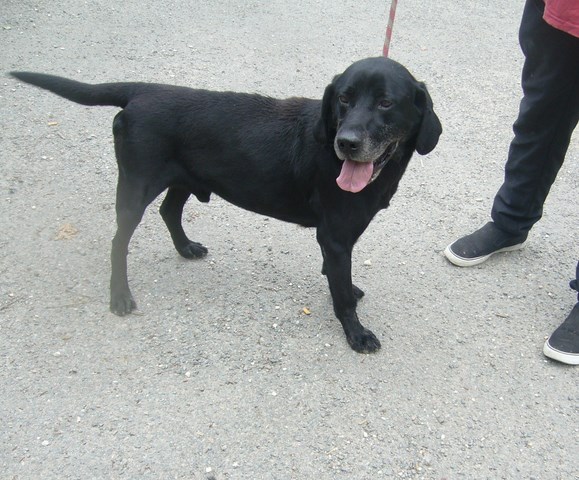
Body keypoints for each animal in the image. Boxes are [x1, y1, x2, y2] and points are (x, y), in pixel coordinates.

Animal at [11, 58, 442, 354]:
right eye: (343, 99)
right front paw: (356, 333)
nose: (347, 142)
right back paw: (119, 297)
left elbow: (338, 279)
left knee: (169, 212)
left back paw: (186, 248)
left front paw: (348, 289)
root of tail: (143, 91)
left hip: (184, 178)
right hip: (135, 187)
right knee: (119, 241)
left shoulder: (341, 237)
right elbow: (341, 296)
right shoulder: (335, 236)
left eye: (386, 102)